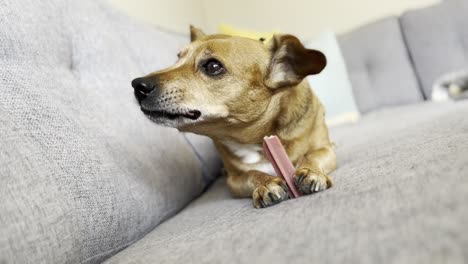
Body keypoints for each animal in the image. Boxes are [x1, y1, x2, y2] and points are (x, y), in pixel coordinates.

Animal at [132, 26, 336, 208]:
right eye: (177, 58)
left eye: (213, 66)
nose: (137, 85)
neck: (256, 138)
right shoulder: (235, 179)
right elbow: (251, 174)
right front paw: (265, 182)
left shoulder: (326, 151)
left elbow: (313, 156)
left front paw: (310, 171)